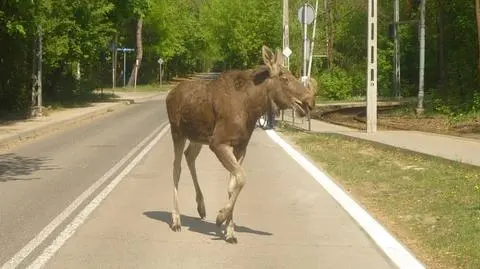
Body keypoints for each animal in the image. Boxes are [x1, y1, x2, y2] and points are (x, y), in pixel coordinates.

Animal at [165, 45, 318, 242]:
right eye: (284, 78)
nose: (309, 101)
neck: (252, 107)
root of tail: (168, 95)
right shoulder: (218, 143)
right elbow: (242, 177)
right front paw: (221, 217)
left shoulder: (240, 146)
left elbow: (234, 183)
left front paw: (230, 230)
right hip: (177, 133)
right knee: (176, 168)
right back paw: (176, 219)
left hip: (197, 138)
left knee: (189, 156)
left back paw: (201, 206)